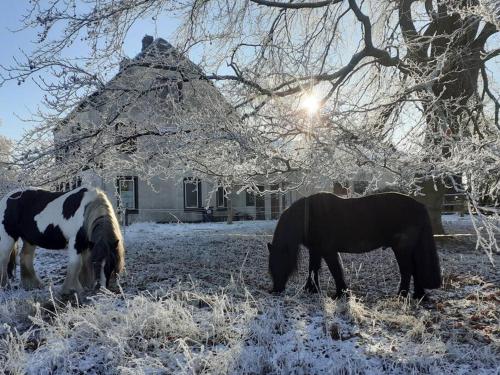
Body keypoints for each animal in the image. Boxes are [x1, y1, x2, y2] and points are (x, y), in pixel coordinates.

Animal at [270, 194, 442, 300]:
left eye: (279, 262)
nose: (275, 290)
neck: (308, 217)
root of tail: (419, 206)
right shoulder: (315, 250)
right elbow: (313, 269)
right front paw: (311, 289)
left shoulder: (328, 251)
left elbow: (335, 270)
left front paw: (341, 293)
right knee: (416, 270)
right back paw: (419, 295)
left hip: (402, 249)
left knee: (407, 270)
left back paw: (401, 295)